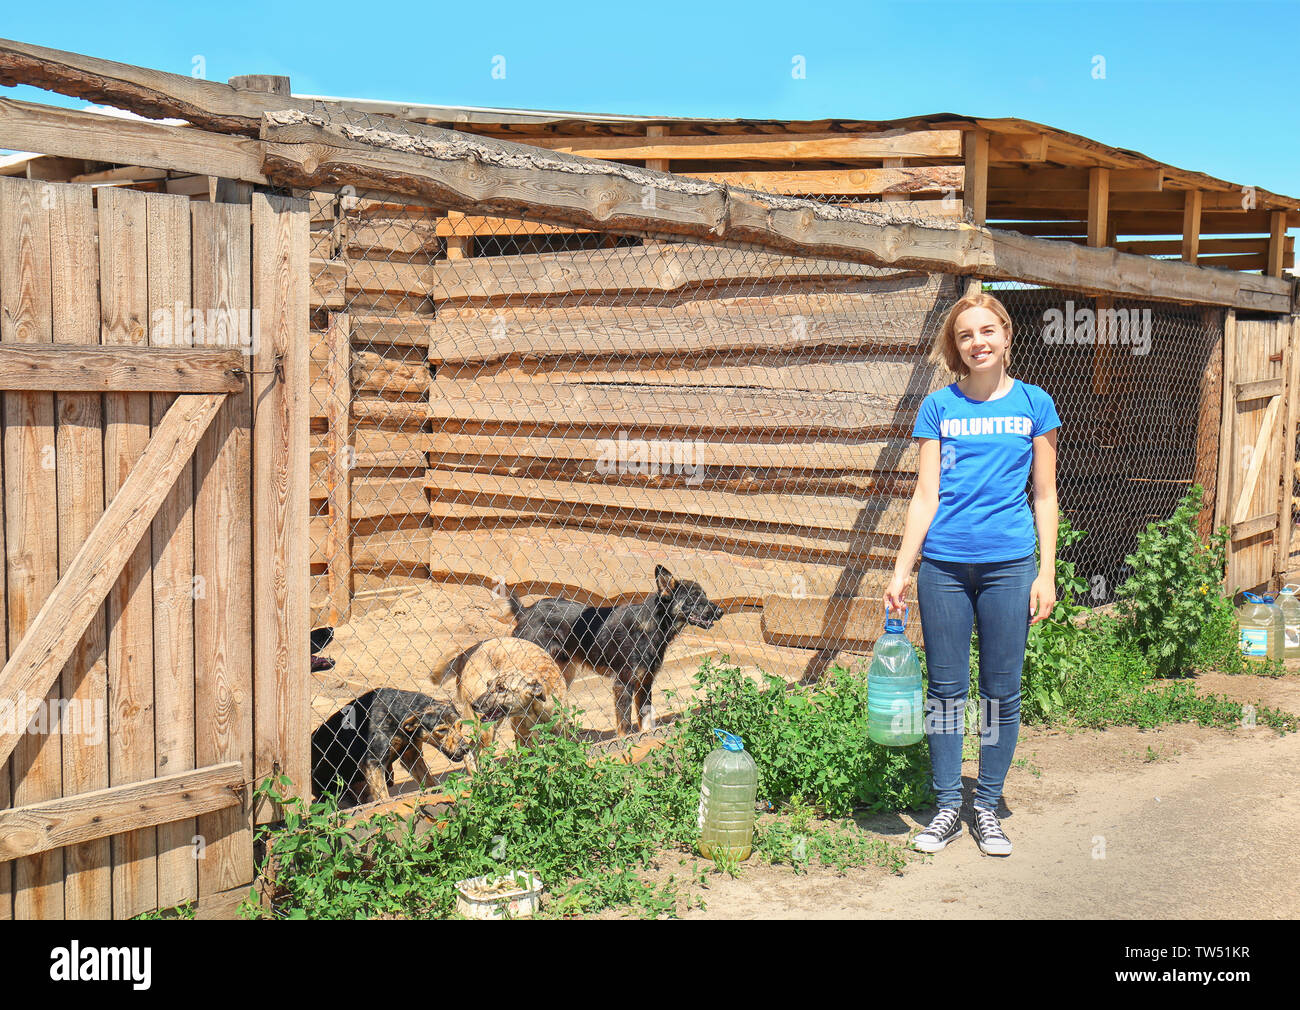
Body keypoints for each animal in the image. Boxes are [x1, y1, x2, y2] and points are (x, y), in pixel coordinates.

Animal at [309, 686, 473, 805]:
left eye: (460, 726)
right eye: (442, 730)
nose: (466, 749)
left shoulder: (412, 755)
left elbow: (429, 782)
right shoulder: (373, 762)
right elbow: (384, 797)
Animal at [504, 564, 722, 738]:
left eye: (705, 595)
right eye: (693, 598)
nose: (720, 612)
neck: (651, 626)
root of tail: (526, 612)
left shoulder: (645, 683)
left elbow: (646, 723)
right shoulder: (623, 684)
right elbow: (624, 725)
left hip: (563, 674)